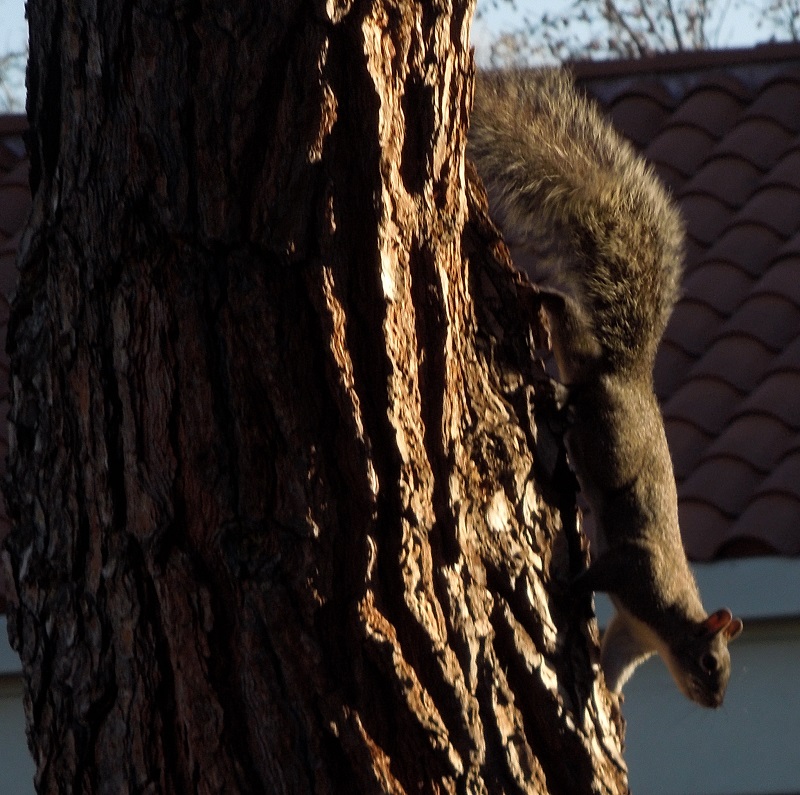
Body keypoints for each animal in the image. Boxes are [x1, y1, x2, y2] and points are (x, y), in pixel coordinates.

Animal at [468, 69, 743, 708]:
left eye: (724, 671)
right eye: (710, 662)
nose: (715, 702)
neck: (669, 625)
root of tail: (630, 376)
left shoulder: (630, 632)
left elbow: (613, 660)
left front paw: (605, 694)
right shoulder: (636, 576)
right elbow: (600, 572)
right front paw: (571, 587)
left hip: (589, 378)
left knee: (572, 338)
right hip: (610, 436)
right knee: (579, 395)